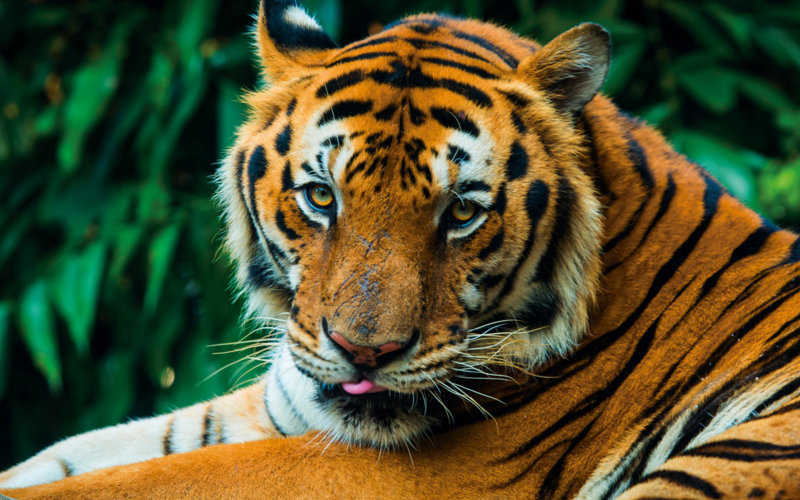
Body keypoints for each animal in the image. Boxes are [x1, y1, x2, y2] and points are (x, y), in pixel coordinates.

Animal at [3, 0, 800, 498]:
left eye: (462, 212)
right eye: (322, 197)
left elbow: (130, 482)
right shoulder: (286, 408)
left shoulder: (415, 473)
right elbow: (73, 456)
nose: (365, 355)